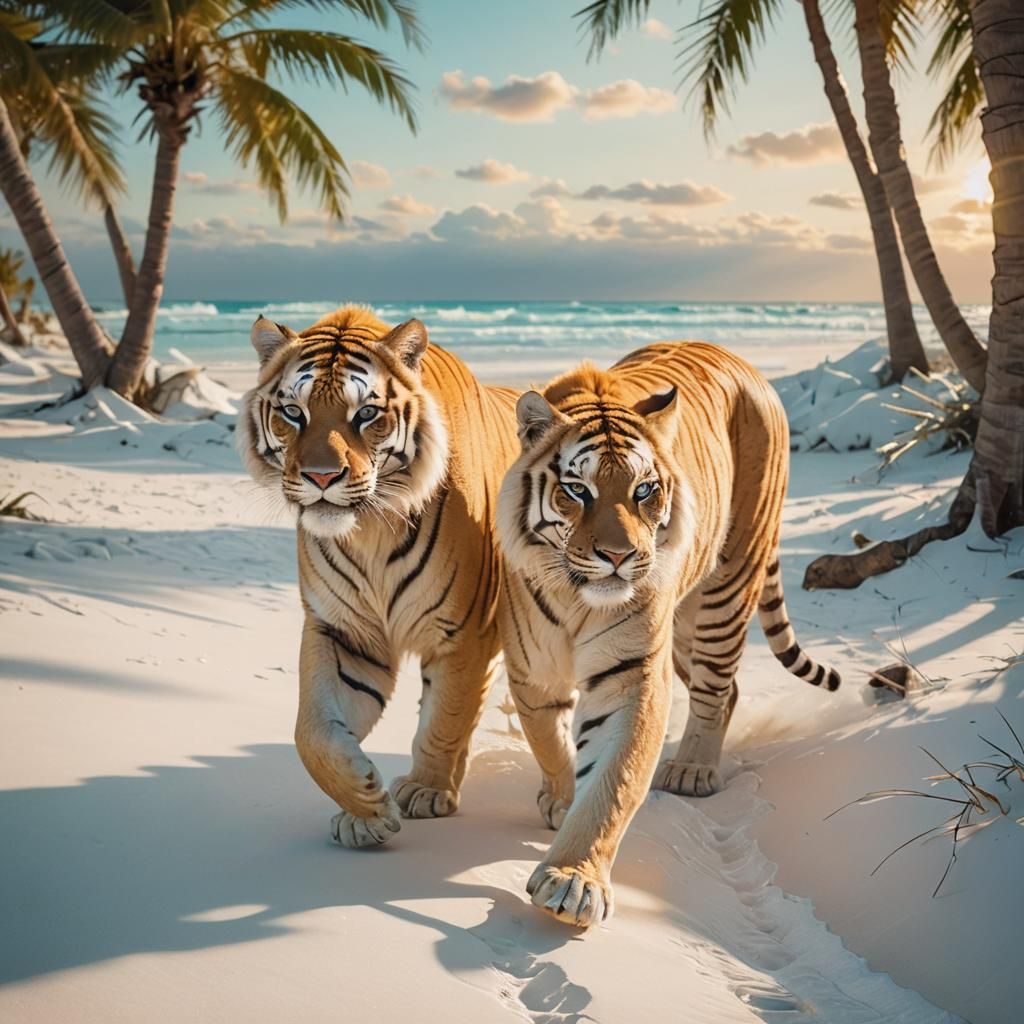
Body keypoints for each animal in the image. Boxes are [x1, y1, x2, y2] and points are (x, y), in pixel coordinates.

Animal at [238, 305, 519, 847]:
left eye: (365, 414)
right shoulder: (343, 630)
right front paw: (365, 804)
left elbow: (445, 716)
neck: (367, 531)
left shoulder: (464, 633)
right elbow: (312, 732)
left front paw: (426, 790)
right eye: (294, 413)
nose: (321, 477)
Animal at [496, 341, 840, 928]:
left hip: (727, 587)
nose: (619, 556)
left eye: (644, 491)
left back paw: (693, 771)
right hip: (683, 630)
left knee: (716, 687)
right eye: (577, 490)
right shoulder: (532, 671)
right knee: (728, 690)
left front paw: (574, 880)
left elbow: (613, 781)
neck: (575, 596)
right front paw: (560, 801)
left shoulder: (632, 675)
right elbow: (549, 742)